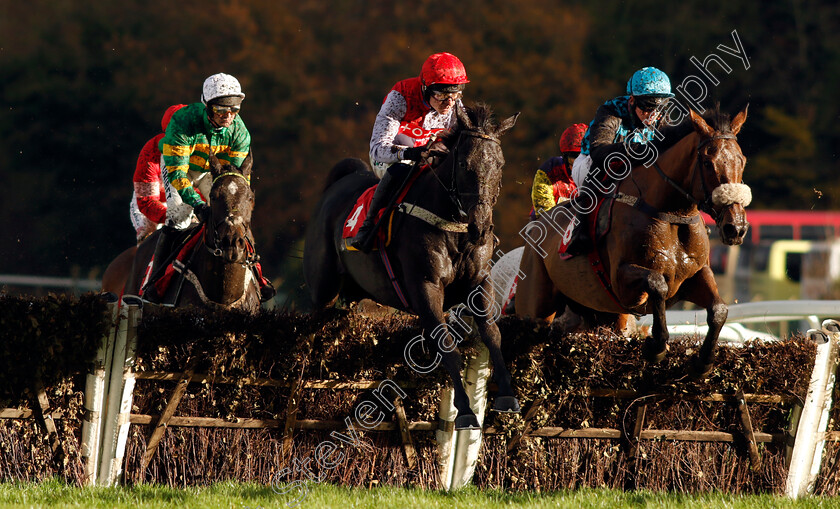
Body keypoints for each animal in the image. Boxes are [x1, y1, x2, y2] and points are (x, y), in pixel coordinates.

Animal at [306, 103, 520, 428]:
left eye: (500, 164)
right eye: (464, 164)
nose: (481, 228)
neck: (453, 227)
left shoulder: (479, 283)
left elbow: (492, 334)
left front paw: (507, 396)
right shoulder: (425, 286)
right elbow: (446, 344)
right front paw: (465, 411)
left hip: (352, 294)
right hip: (324, 286)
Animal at [520, 106, 748, 378]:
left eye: (742, 160)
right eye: (707, 162)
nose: (736, 227)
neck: (671, 214)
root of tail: (537, 225)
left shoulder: (696, 274)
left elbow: (719, 310)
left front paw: (703, 362)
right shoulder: (622, 282)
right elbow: (657, 283)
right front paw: (656, 346)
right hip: (536, 306)